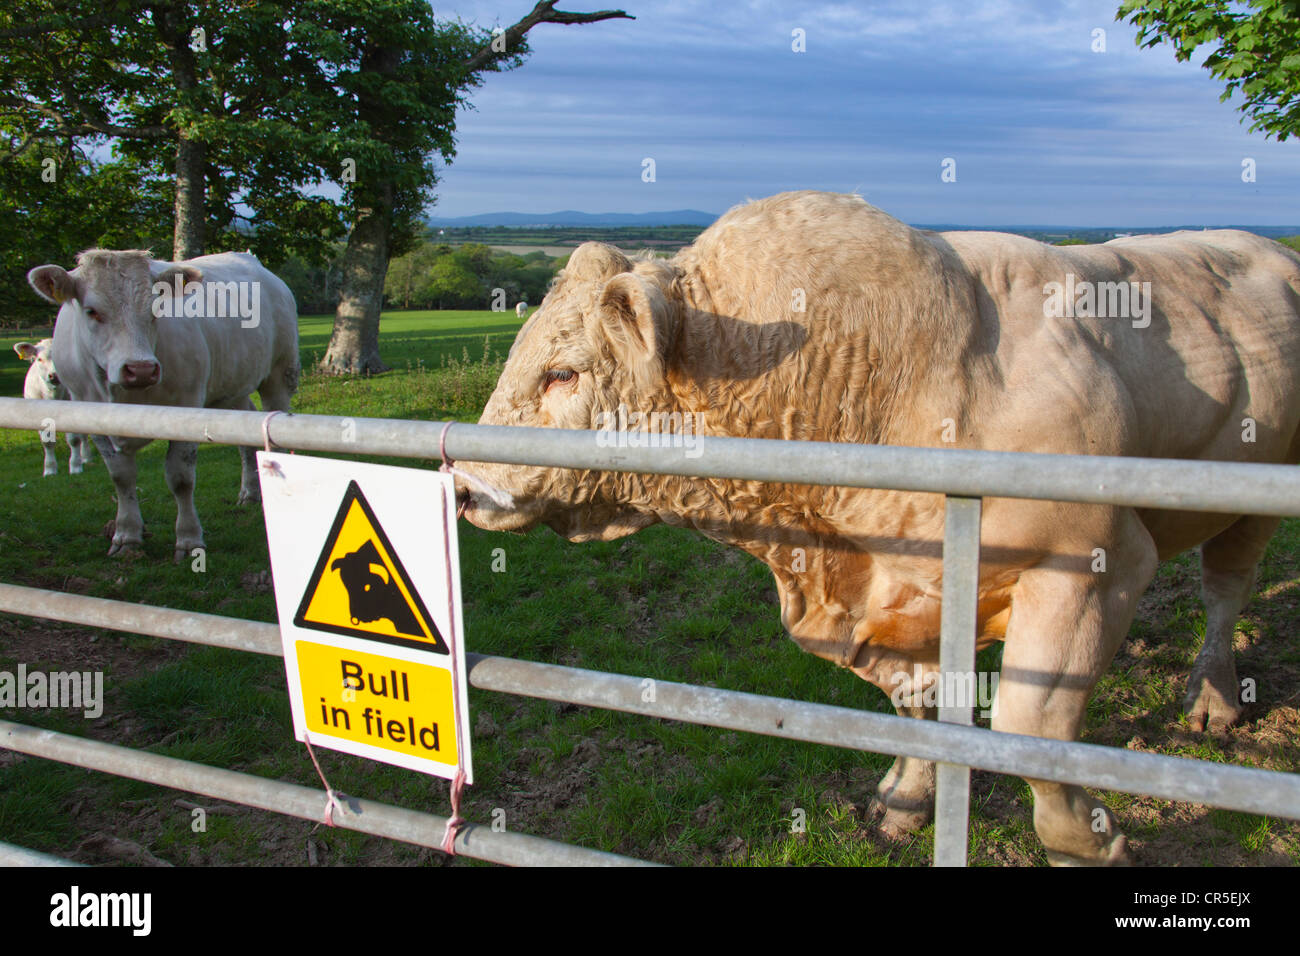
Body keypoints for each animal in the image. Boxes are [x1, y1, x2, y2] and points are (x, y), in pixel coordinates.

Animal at [13, 338, 93, 476]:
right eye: (39, 359)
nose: (54, 376)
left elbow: (74, 439)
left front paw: (75, 466)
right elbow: (47, 442)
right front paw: (50, 469)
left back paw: (86, 457)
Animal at [27, 249, 300, 561]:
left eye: (156, 308)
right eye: (91, 311)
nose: (141, 369)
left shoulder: (188, 405)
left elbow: (180, 478)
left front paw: (188, 539)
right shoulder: (89, 413)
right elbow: (121, 476)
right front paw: (126, 535)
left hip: (280, 372)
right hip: (232, 388)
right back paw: (250, 493)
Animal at [454, 190, 1300, 865]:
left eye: (562, 373)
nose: (462, 486)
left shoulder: (1096, 562)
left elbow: (1029, 722)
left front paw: (1085, 843)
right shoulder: (888, 598)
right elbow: (917, 707)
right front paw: (905, 800)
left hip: (1255, 498)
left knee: (1225, 590)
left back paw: (1214, 698)